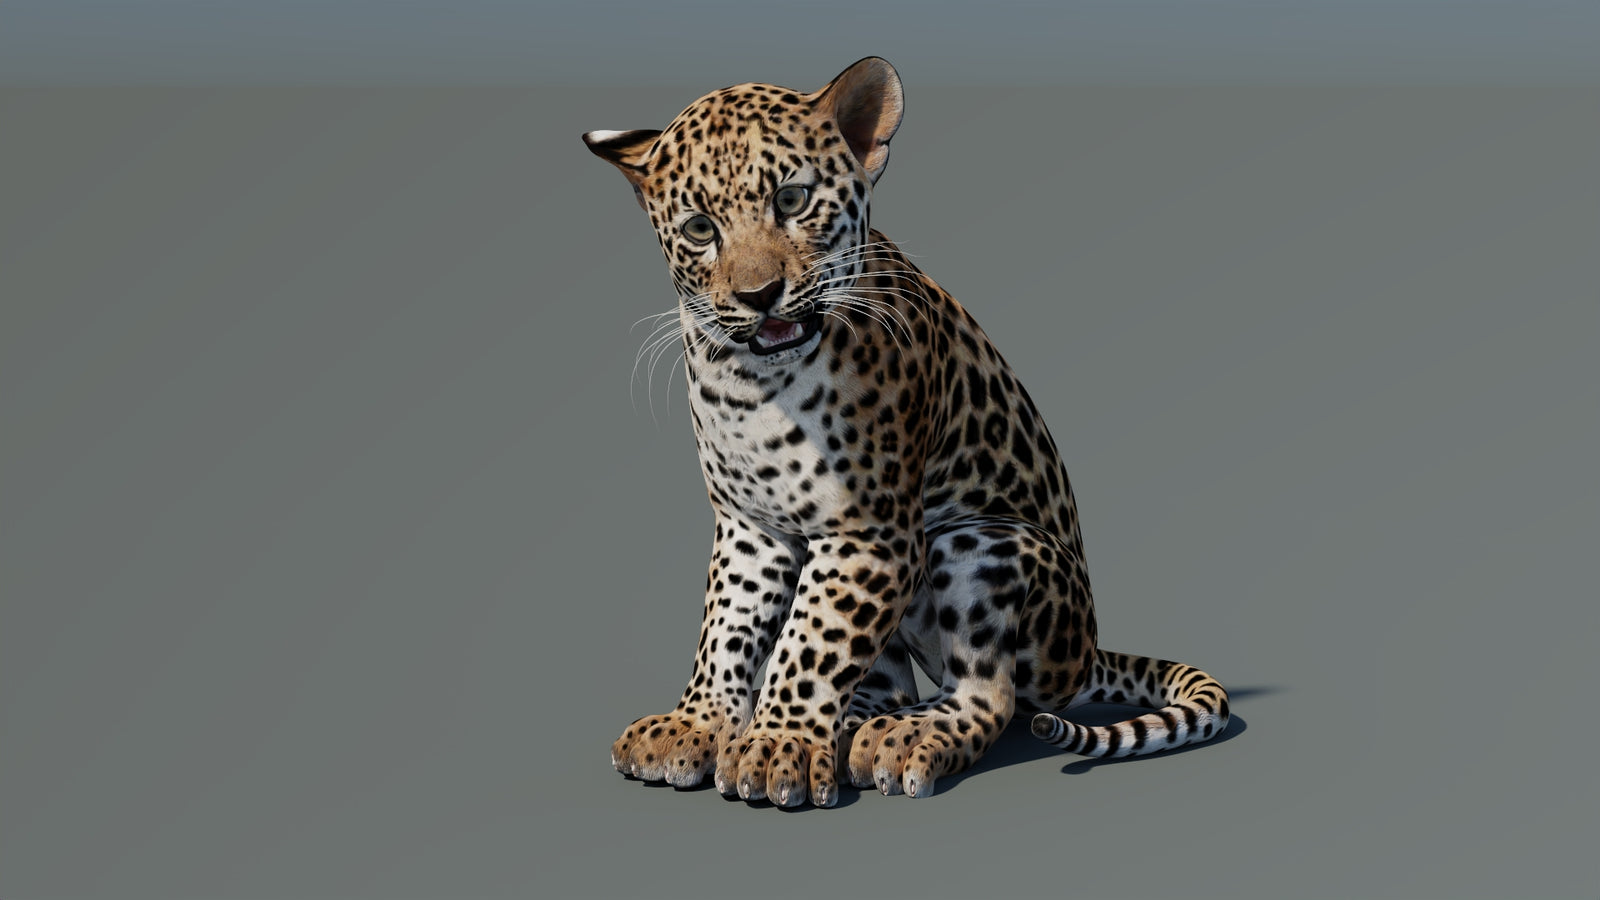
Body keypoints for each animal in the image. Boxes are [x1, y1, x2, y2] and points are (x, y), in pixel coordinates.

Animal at [583, 57, 1229, 808]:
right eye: (697, 228)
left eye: (793, 199)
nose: (758, 295)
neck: (752, 386)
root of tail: (1085, 652)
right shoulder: (750, 527)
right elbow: (728, 627)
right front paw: (697, 725)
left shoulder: (870, 532)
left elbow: (812, 640)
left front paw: (774, 744)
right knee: (888, 682)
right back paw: (856, 726)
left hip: (979, 543)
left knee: (992, 694)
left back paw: (906, 735)